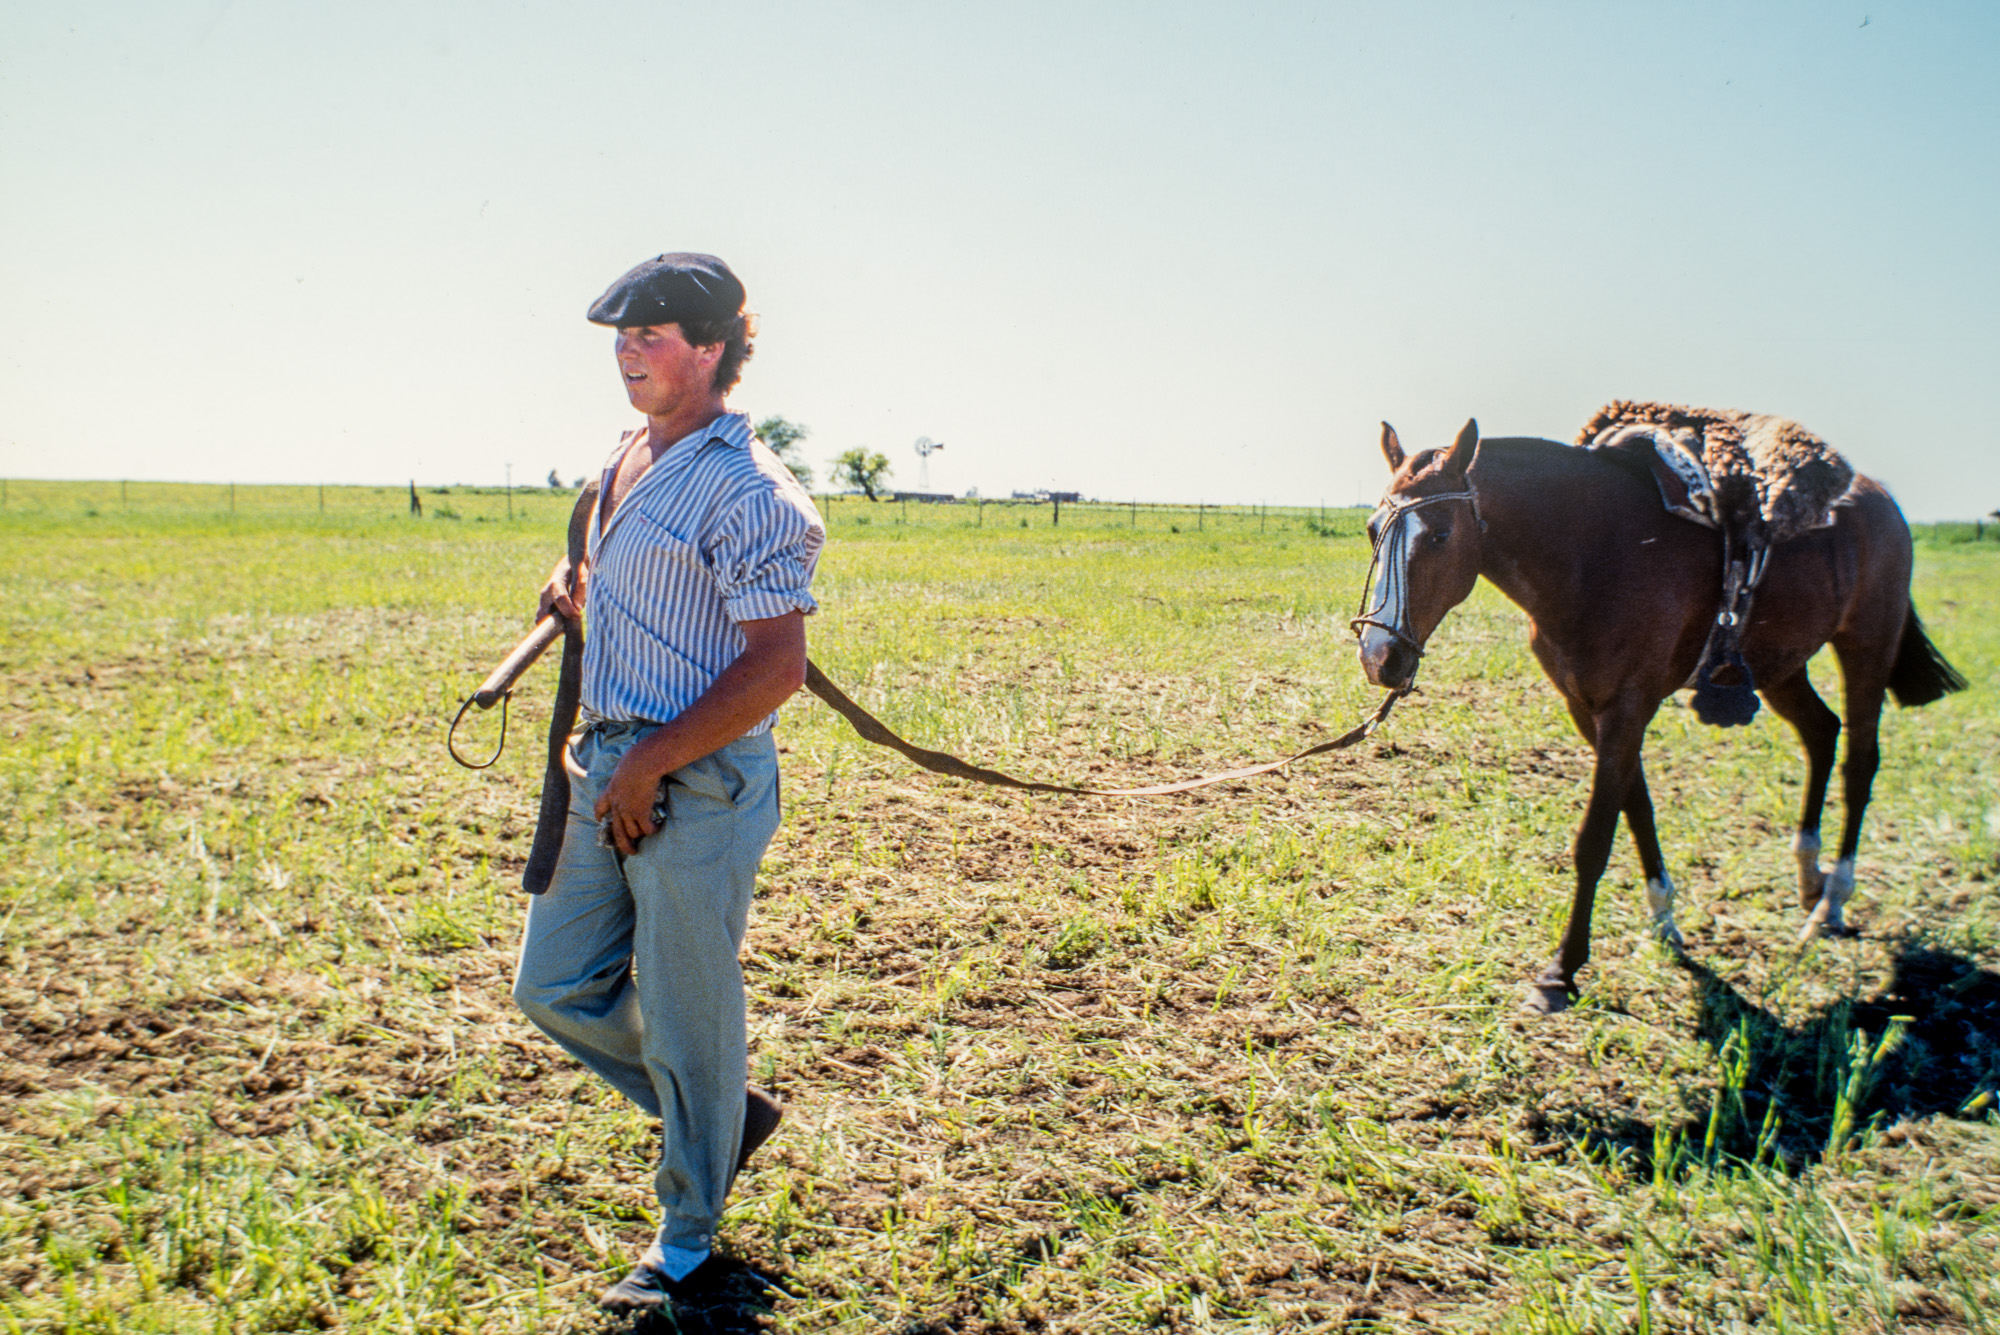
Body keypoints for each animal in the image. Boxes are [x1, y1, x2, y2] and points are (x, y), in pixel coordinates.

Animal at [1352, 421, 1960, 1015]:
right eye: (1372, 528)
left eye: (1439, 535)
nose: (1381, 657)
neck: (1595, 553)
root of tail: (1879, 498)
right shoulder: (1588, 708)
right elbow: (1637, 807)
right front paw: (1664, 921)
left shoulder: (1628, 706)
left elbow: (1595, 838)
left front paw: (1561, 971)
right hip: (1781, 665)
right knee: (1821, 733)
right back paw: (1810, 878)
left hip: (1867, 647)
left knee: (1860, 761)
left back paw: (1831, 902)